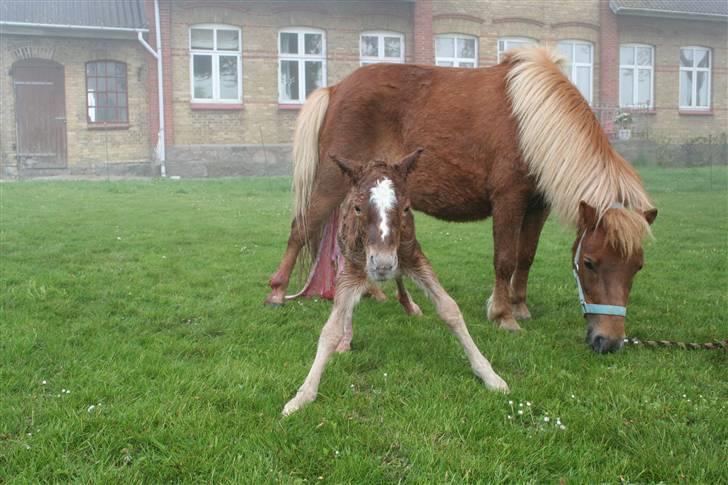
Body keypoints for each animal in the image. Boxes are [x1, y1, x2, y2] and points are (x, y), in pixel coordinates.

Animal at [264, 46, 656, 352]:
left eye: (638, 267)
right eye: (589, 263)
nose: (609, 341)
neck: (532, 125)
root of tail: (334, 88)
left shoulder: (537, 207)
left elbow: (526, 258)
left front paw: (520, 306)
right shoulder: (508, 201)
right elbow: (505, 260)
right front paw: (503, 315)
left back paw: (375, 293)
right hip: (331, 184)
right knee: (301, 229)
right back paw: (277, 293)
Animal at [282, 149, 510, 414]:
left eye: (407, 208)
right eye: (357, 208)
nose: (382, 264)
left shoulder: (413, 255)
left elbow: (449, 309)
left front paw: (490, 375)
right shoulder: (353, 267)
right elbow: (331, 329)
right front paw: (301, 396)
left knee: (400, 279)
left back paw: (408, 304)